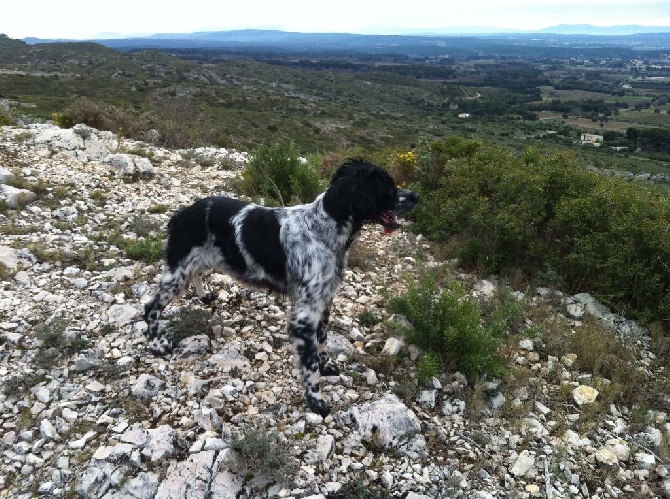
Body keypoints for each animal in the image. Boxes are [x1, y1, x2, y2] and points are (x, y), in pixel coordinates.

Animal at [144, 158, 420, 416]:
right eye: (388, 187)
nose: (416, 196)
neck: (324, 230)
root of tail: (182, 213)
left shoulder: (324, 300)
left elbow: (322, 342)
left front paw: (325, 366)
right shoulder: (304, 313)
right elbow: (309, 364)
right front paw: (316, 400)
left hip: (198, 262)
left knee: (197, 274)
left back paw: (204, 296)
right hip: (177, 272)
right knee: (150, 308)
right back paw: (159, 345)